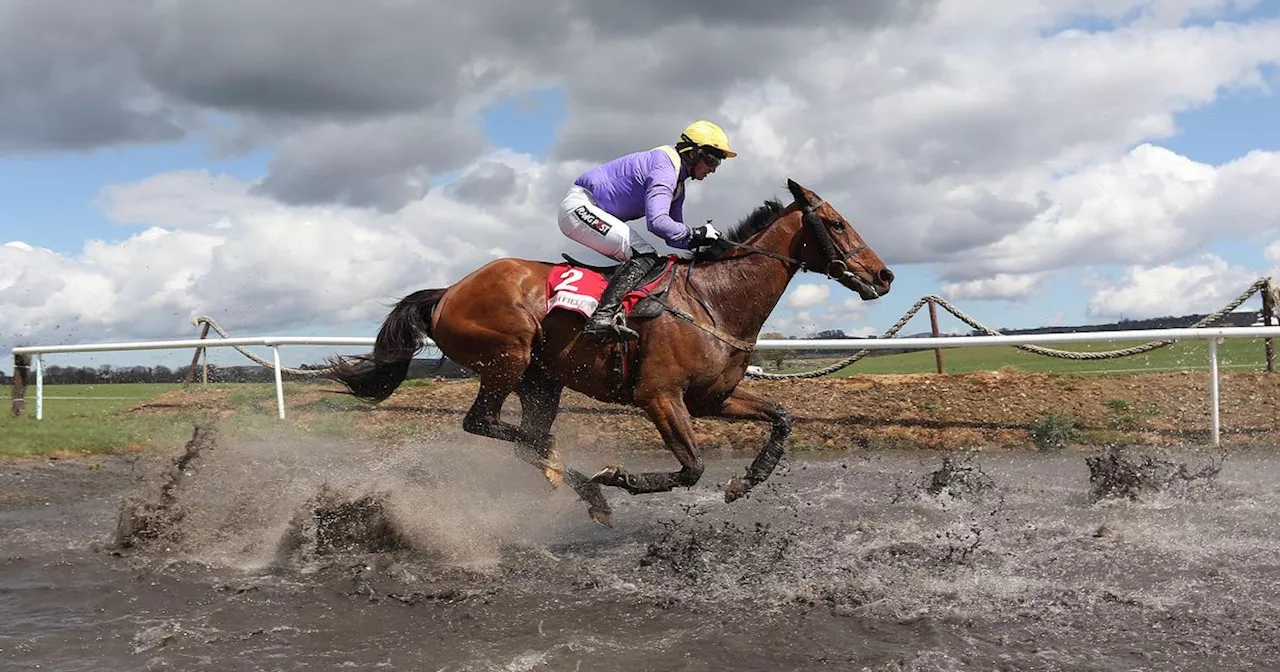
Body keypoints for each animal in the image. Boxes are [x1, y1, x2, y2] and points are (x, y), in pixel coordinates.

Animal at [327, 177, 890, 524]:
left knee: (527, 438)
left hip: (541, 379)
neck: (713, 300)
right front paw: (621, 477)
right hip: (507, 358)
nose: (884, 275)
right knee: (488, 425)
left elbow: (781, 417)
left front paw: (746, 481)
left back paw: (576, 483)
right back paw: (576, 476)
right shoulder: (659, 397)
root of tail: (447, 292)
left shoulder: (712, 397)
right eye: (836, 224)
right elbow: (692, 468)